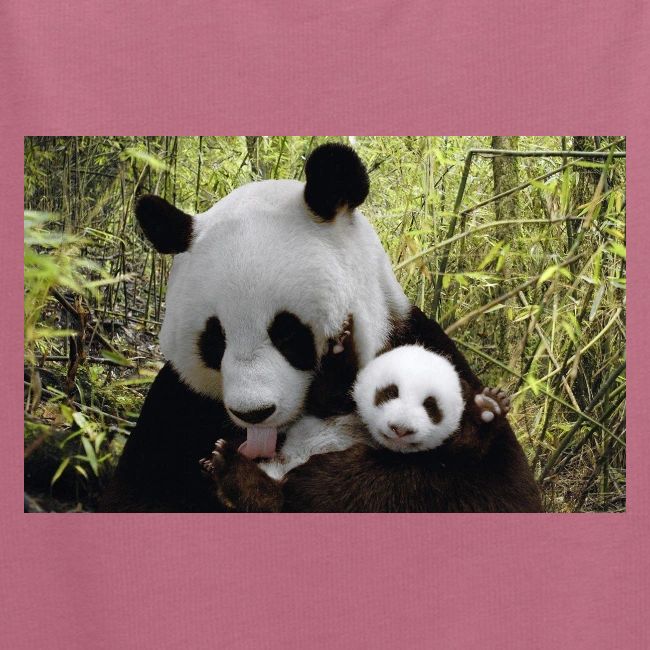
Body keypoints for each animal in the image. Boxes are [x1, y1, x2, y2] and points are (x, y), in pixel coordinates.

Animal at [100, 143, 541, 513]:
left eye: (287, 333)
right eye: (214, 340)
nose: (254, 413)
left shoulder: (420, 346)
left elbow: (491, 489)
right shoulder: (177, 405)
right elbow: (137, 494)